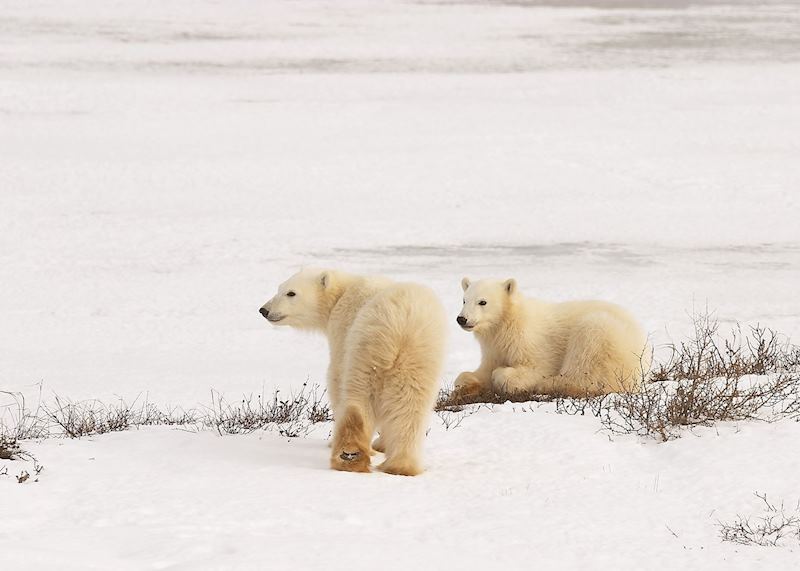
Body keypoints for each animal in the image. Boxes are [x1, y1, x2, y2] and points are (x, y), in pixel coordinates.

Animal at [260, 268, 446, 476]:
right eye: (280, 288)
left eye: (291, 293)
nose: (264, 310)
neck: (342, 292)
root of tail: (399, 328)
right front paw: (382, 445)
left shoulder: (342, 328)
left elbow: (335, 377)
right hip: (420, 361)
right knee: (411, 409)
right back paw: (400, 465)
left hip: (366, 351)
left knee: (358, 400)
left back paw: (349, 457)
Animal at [454, 277, 647, 398]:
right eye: (464, 300)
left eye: (482, 302)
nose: (461, 319)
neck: (507, 323)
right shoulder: (494, 347)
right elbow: (483, 370)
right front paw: (467, 384)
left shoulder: (532, 342)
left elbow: (535, 369)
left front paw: (504, 376)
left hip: (606, 334)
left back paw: (549, 384)